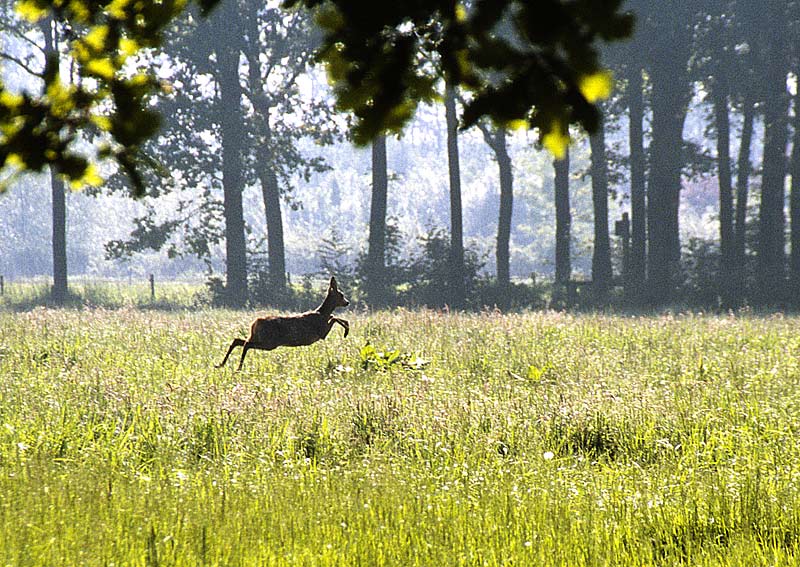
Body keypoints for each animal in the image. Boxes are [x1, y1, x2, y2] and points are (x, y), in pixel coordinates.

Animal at [216, 276, 350, 372]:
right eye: (341, 295)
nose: (347, 302)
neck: (322, 313)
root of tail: (255, 323)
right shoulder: (321, 332)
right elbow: (334, 318)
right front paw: (346, 332)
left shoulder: (321, 331)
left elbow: (334, 317)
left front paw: (346, 329)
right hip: (269, 342)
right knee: (246, 344)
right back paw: (238, 368)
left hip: (258, 337)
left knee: (237, 340)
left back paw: (221, 364)